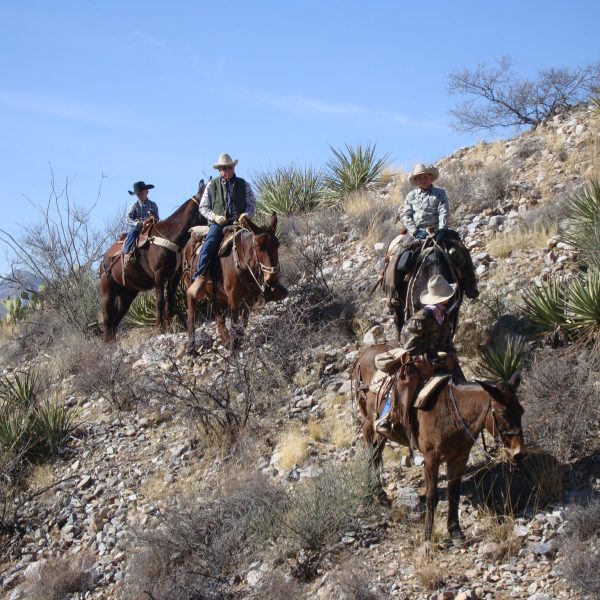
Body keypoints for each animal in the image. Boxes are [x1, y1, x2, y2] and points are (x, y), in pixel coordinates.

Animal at [100, 190, 206, 344]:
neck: (170, 236)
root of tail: (103, 262)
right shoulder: (159, 276)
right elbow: (160, 302)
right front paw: (159, 329)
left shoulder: (175, 277)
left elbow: (170, 301)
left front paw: (169, 327)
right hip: (108, 292)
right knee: (107, 318)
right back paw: (107, 343)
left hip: (127, 295)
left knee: (116, 319)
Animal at [183, 211, 284, 352]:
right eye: (258, 246)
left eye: (277, 245)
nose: (272, 277)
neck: (242, 261)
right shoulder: (233, 296)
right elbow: (235, 321)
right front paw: (233, 348)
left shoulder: (250, 298)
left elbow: (244, 321)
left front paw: (237, 342)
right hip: (193, 287)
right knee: (192, 314)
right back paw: (190, 347)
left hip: (217, 294)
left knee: (218, 315)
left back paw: (225, 339)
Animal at [352, 342, 524, 544]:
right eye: (503, 412)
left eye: (521, 411)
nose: (519, 452)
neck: (453, 413)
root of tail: (366, 351)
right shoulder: (431, 459)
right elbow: (431, 496)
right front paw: (428, 535)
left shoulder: (460, 459)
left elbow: (454, 493)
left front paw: (456, 531)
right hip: (368, 422)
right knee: (370, 456)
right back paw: (372, 494)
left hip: (381, 433)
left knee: (377, 455)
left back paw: (380, 494)